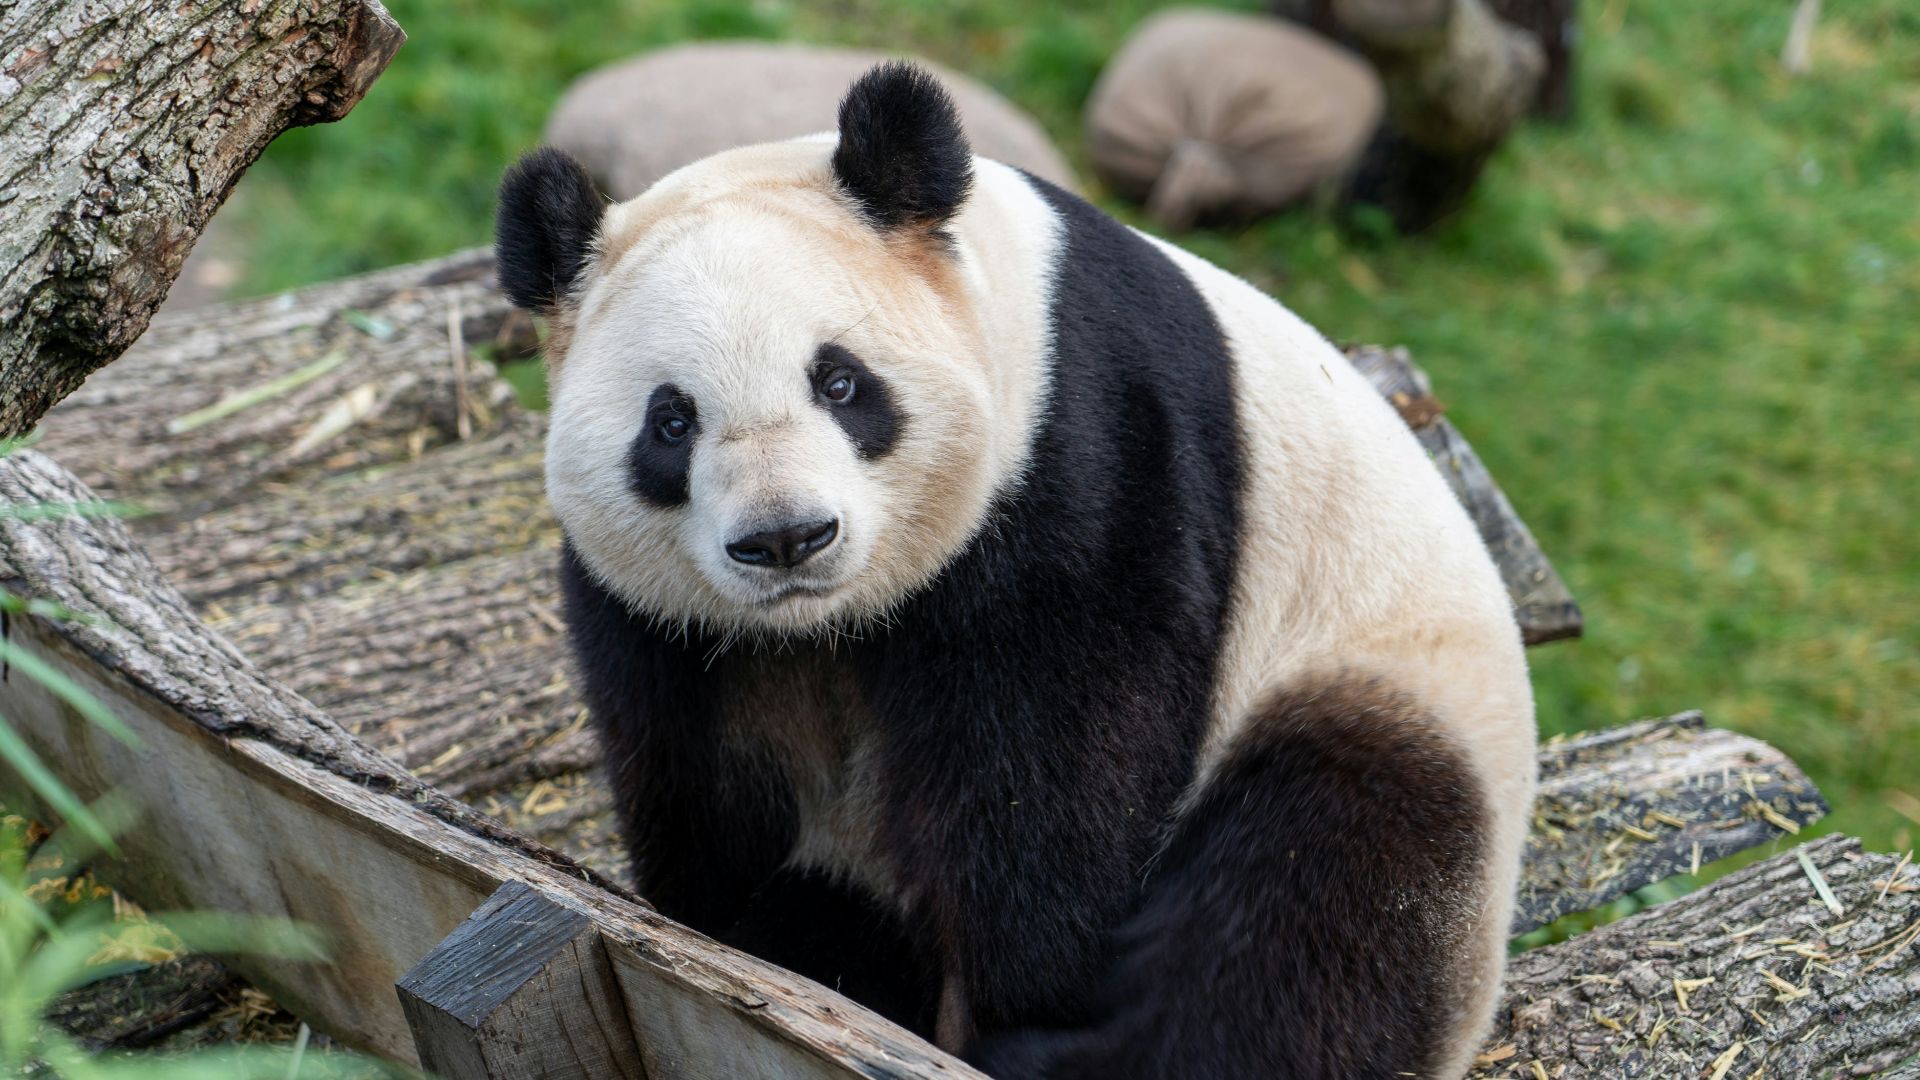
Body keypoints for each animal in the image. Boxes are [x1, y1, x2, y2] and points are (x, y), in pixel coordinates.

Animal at [496, 62, 1536, 1080]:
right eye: (671, 422)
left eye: (840, 382)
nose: (787, 538)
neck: (826, 625)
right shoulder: (665, 620)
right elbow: (695, 769)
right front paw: (731, 932)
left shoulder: (1084, 454)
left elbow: (1056, 765)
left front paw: (1016, 995)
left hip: (1381, 683)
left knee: (1315, 892)